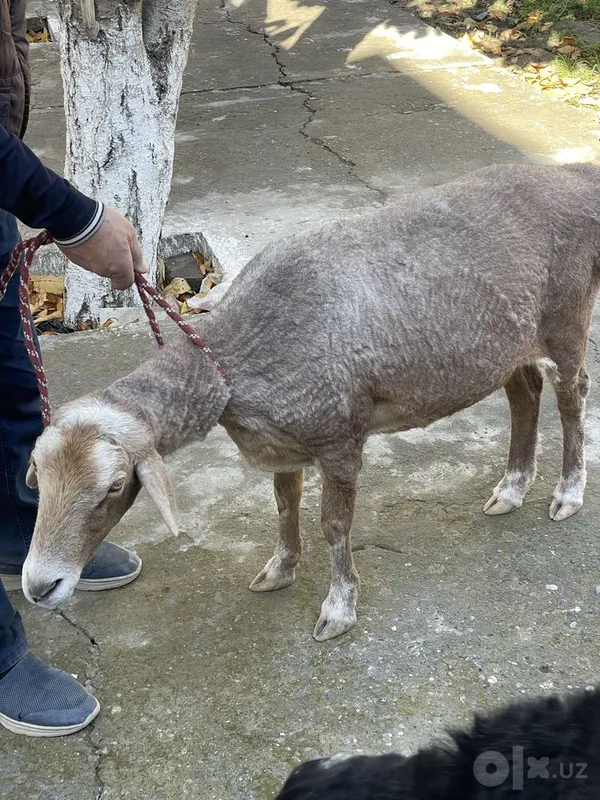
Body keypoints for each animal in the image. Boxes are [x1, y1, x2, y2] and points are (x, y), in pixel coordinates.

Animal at [22, 163, 600, 641]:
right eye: (39, 477)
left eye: (114, 487)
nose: (38, 586)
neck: (236, 363)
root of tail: (579, 180)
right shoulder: (285, 441)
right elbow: (283, 505)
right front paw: (279, 570)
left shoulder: (339, 436)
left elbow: (335, 526)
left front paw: (338, 609)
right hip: (506, 339)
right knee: (525, 393)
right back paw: (512, 488)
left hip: (566, 313)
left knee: (573, 394)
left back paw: (567, 492)